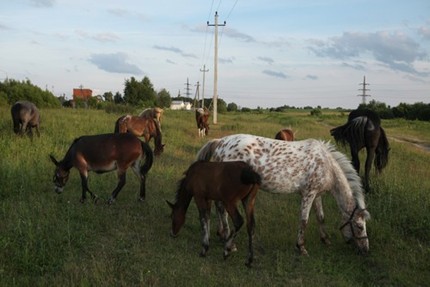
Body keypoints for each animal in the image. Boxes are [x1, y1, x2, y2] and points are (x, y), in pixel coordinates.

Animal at [197, 134, 372, 256]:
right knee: (222, 209)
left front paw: (325, 239)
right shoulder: (308, 194)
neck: (327, 165)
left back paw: (222, 235)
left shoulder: (317, 195)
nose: (366, 250)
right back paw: (229, 242)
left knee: (219, 207)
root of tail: (220, 142)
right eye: (359, 226)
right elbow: (304, 221)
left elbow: (321, 217)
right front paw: (301, 247)